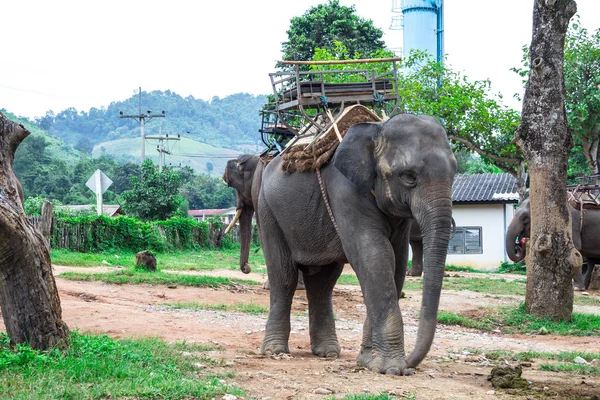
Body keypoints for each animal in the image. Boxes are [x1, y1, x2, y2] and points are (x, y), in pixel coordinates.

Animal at [255, 113, 458, 376]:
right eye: (409, 176)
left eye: (455, 173)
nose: (410, 364)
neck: (377, 129)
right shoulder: (344, 192)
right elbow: (374, 254)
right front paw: (392, 369)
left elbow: (396, 259)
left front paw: (368, 361)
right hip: (267, 210)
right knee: (284, 276)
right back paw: (275, 351)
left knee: (322, 283)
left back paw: (327, 352)